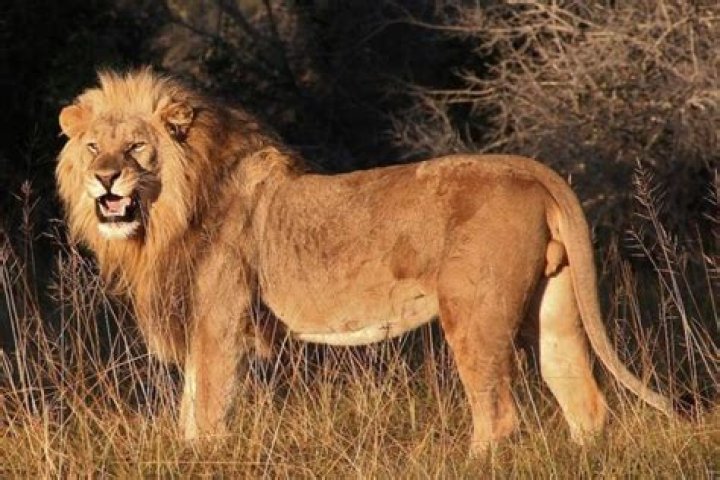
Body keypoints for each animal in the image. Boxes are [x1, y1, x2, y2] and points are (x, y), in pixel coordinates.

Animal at [56, 68, 674, 456]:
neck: (163, 217)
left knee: (498, 417)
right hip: (553, 308)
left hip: (474, 311)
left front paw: (202, 457)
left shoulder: (220, 320)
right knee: (584, 401)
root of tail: (526, 168)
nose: (105, 178)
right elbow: (189, 407)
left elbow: (206, 407)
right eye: (92, 148)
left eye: (136, 147)